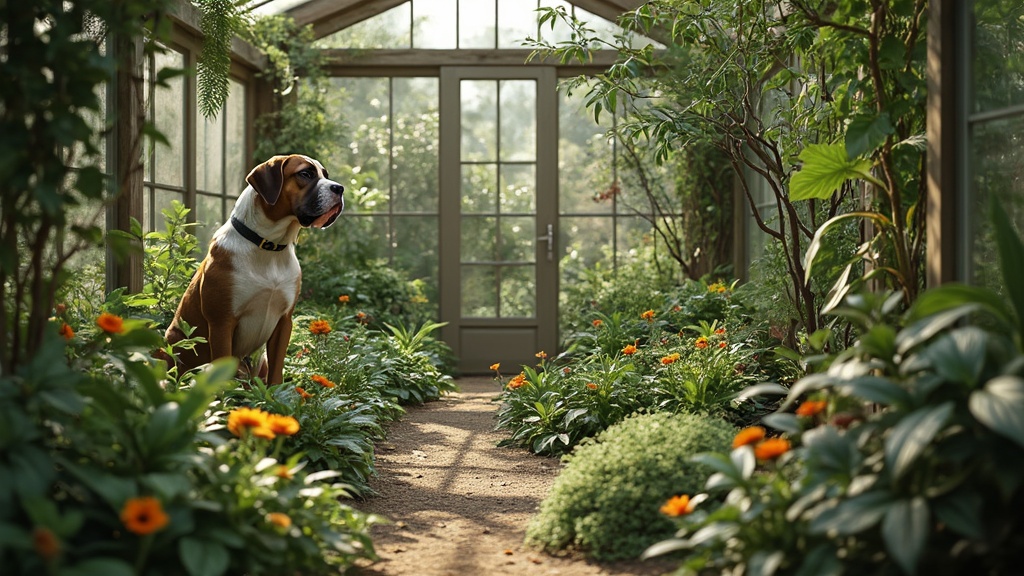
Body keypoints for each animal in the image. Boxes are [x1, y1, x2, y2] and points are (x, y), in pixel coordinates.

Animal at [161, 154, 346, 383]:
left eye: (325, 175)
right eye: (305, 174)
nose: (339, 188)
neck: (269, 246)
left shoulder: (283, 323)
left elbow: (276, 372)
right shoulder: (222, 324)